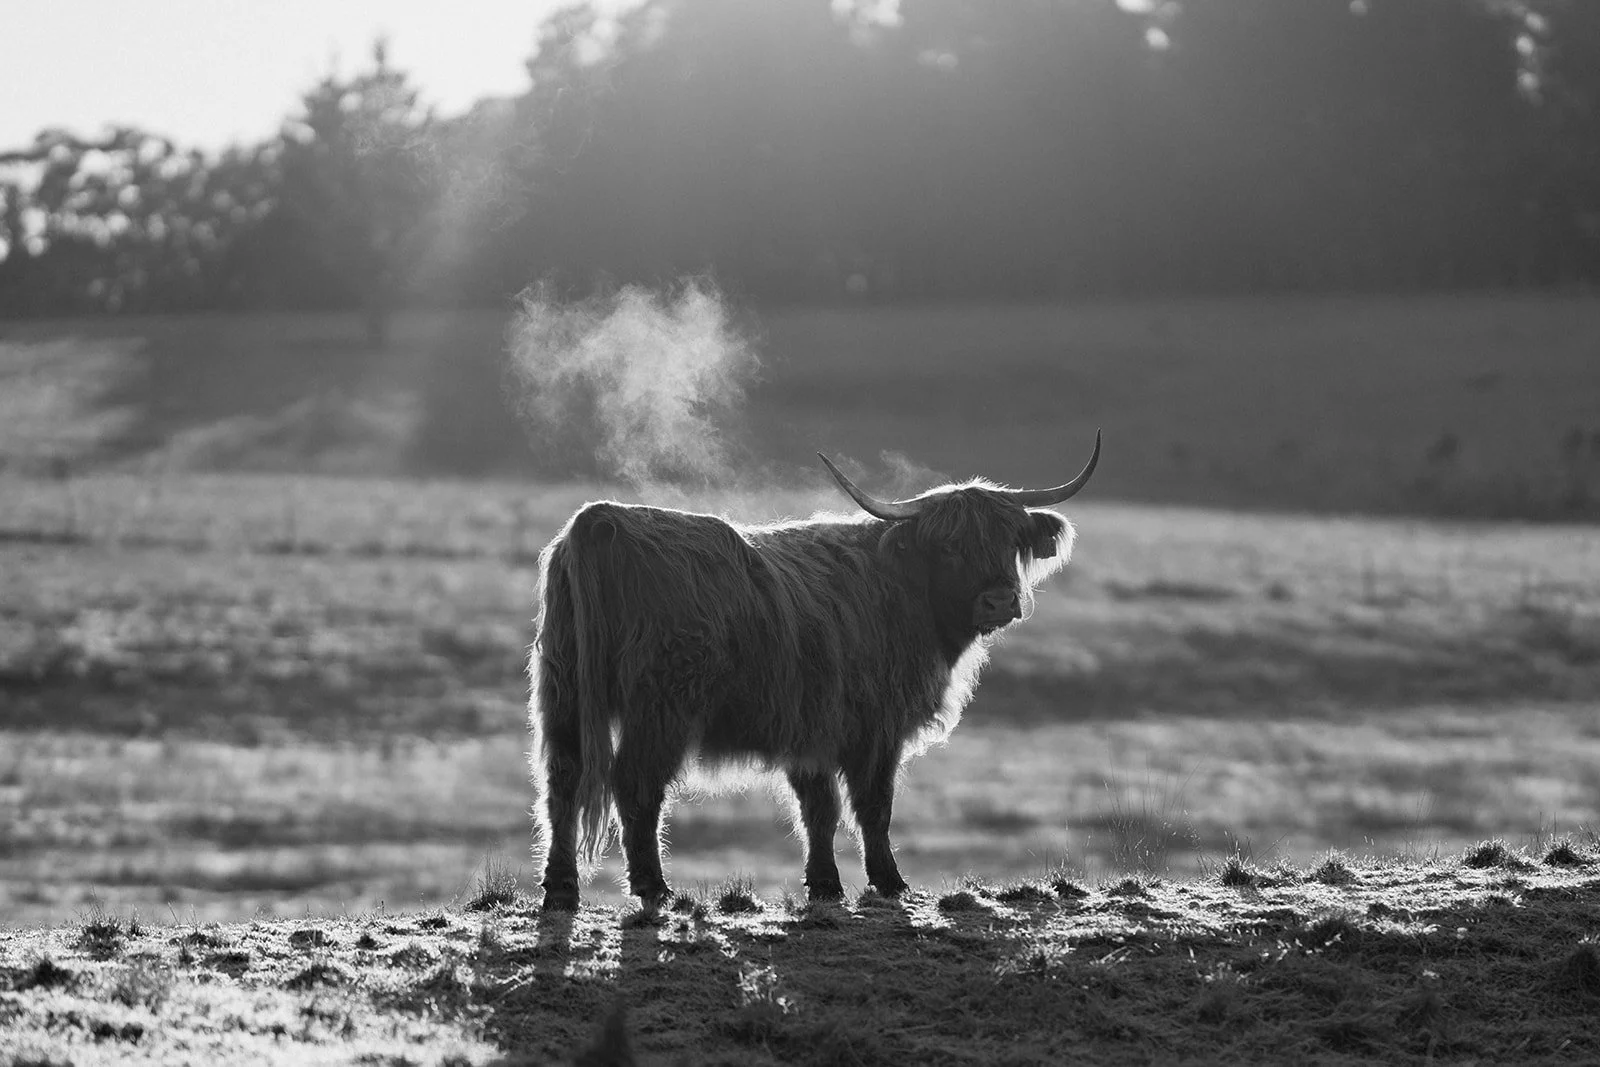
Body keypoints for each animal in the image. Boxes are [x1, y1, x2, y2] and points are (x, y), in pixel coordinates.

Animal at [528, 432, 1100, 911]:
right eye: (951, 546)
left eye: (1010, 542)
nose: (1000, 599)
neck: (904, 589)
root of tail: (604, 519)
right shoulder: (876, 727)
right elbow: (872, 806)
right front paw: (889, 882)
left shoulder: (812, 731)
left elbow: (818, 810)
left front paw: (825, 885)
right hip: (662, 707)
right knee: (634, 783)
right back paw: (653, 886)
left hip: (563, 693)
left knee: (563, 779)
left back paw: (560, 889)